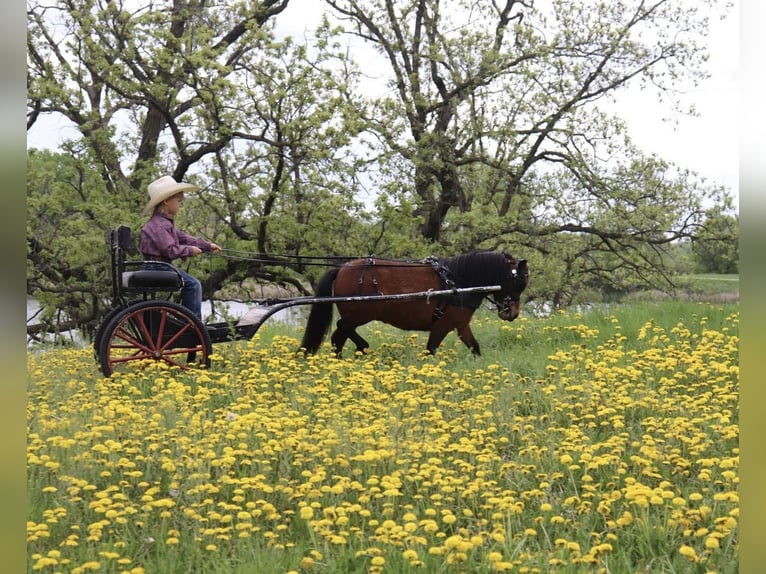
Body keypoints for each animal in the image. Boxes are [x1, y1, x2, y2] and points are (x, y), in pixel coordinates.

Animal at [300, 251, 528, 356]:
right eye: (518, 282)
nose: (512, 314)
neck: (457, 281)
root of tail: (341, 268)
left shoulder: (460, 325)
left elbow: (475, 347)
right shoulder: (442, 325)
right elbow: (431, 349)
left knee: (340, 335)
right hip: (358, 315)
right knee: (340, 333)